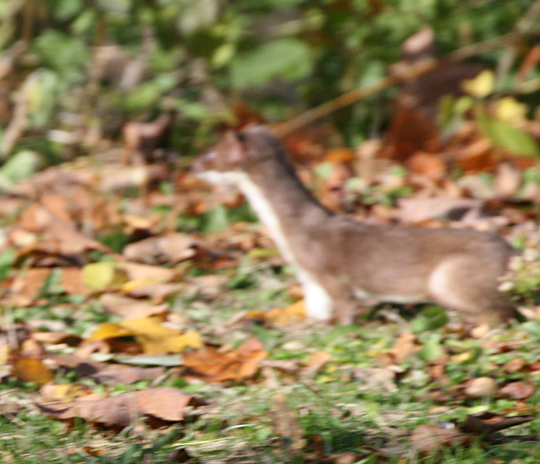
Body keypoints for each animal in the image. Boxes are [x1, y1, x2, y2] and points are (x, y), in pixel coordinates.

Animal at [194, 125, 520, 324]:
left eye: (210, 153)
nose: (192, 166)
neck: (287, 234)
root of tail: (511, 251)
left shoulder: (328, 270)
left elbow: (344, 303)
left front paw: (342, 325)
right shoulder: (308, 278)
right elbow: (316, 308)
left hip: (448, 277)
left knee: (500, 309)